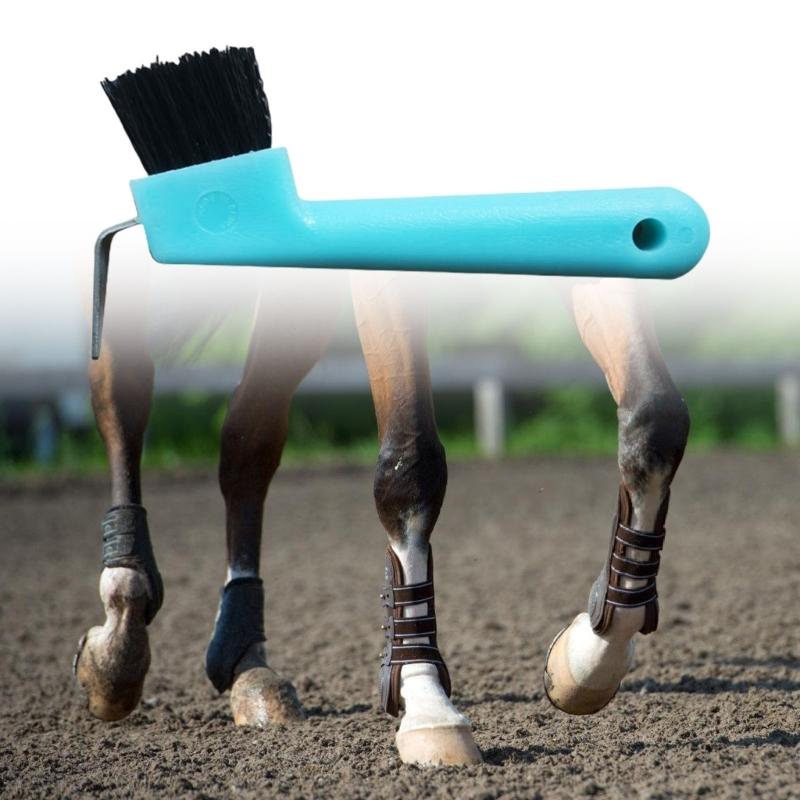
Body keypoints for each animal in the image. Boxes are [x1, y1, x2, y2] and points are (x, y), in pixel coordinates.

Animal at [74, 267, 689, 767]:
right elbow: (409, 468)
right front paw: (426, 702)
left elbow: (656, 420)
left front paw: (590, 656)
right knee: (123, 381)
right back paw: (121, 625)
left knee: (248, 436)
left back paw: (246, 661)